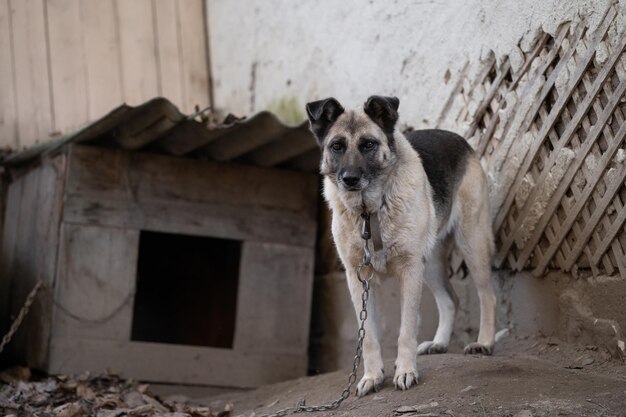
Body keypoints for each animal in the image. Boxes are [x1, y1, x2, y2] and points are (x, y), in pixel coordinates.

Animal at [304, 95, 494, 396]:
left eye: (368, 144)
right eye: (337, 146)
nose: (349, 179)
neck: (369, 213)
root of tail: (459, 139)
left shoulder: (409, 270)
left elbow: (406, 329)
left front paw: (405, 371)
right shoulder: (358, 278)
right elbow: (369, 337)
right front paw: (372, 376)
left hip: (472, 242)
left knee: (488, 295)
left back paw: (484, 342)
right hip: (431, 264)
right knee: (450, 299)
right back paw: (439, 343)